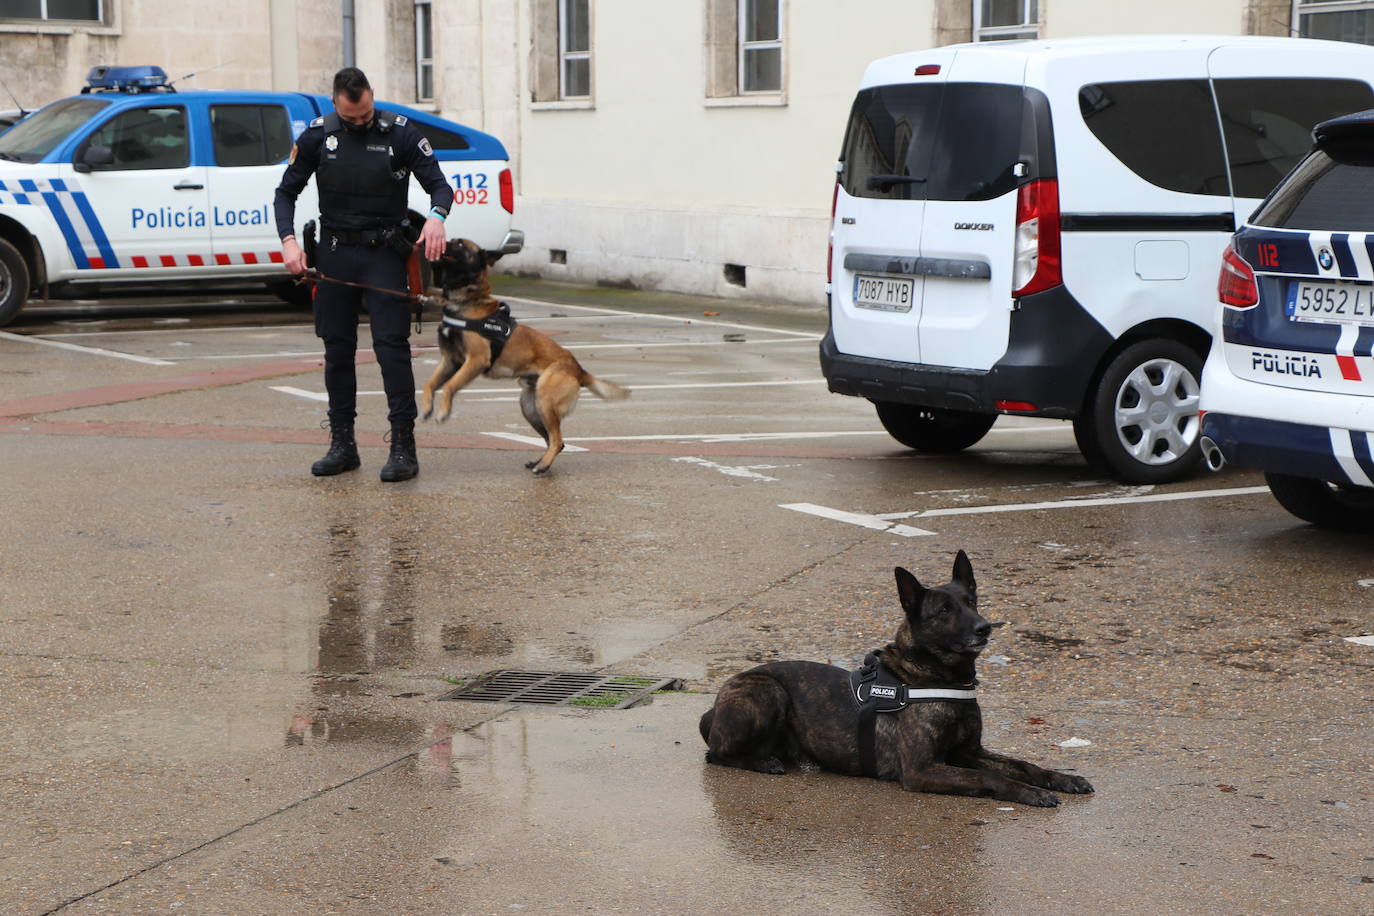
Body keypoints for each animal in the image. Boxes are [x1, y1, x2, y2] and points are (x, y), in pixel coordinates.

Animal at [420, 238, 629, 472]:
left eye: (461, 245)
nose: (440, 240)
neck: (467, 301)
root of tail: (578, 369)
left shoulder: (475, 360)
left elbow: (449, 386)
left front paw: (443, 411)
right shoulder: (451, 361)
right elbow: (430, 384)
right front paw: (427, 408)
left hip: (545, 402)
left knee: (557, 440)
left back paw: (543, 466)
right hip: (531, 407)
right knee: (552, 440)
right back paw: (541, 462)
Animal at [697, 549, 1093, 807]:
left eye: (972, 602)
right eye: (944, 610)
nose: (985, 628)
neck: (937, 675)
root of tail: (714, 707)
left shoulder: (969, 752)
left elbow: (1022, 764)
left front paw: (1062, 778)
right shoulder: (922, 770)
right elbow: (991, 777)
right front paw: (1030, 792)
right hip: (768, 691)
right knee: (717, 753)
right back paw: (762, 761)